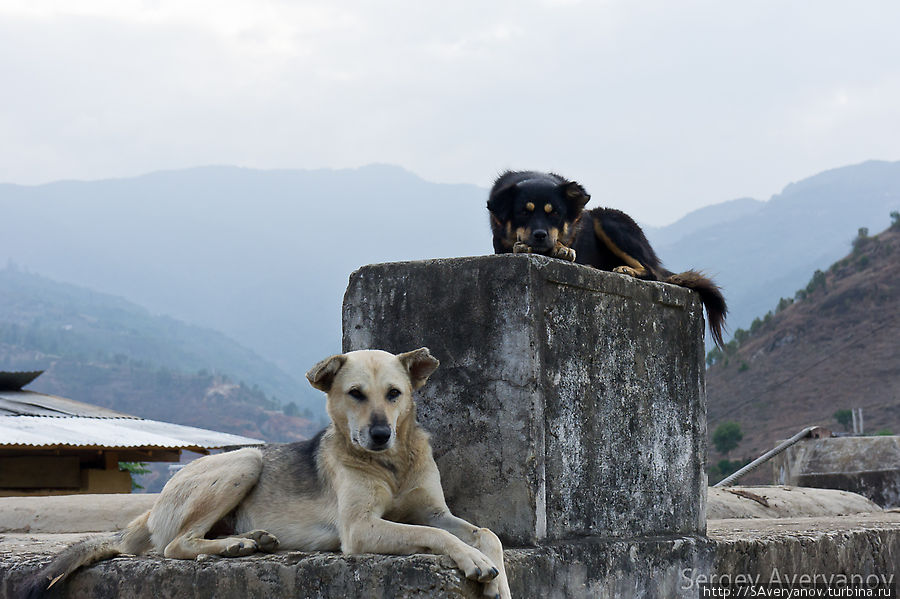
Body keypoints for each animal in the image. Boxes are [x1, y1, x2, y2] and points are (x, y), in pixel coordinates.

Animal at [24, 350, 510, 599]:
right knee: (175, 546)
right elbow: (440, 537)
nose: (379, 434)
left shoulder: (433, 511)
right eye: (355, 394)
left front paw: (498, 581)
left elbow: (486, 533)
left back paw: (248, 540)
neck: (391, 464)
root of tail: (148, 510)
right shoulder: (360, 529)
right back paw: (237, 545)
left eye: (395, 394)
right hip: (245, 461)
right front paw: (472, 561)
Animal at [488, 170, 728, 346]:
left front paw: (561, 248)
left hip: (607, 218)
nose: (540, 235)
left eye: (554, 213)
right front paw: (524, 245)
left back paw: (626, 269)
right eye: (523, 212)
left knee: (651, 272)